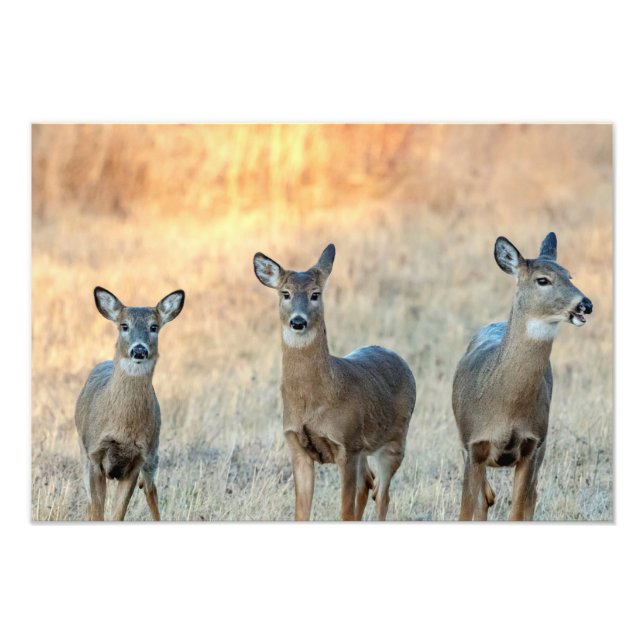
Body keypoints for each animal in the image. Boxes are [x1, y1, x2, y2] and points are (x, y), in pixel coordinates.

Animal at [75, 286, 185, 521]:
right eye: (124, 326)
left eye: (154, 327)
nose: (139, 350)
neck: (122, 428)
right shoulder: (94, 454)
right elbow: (97, 511)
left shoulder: (137, 460)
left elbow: (118, 513)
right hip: (82, 450)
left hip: (153, 452)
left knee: (151, 490)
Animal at [253, 243, 416, 521]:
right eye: (285, 293)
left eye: (315, 294)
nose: (298, 321)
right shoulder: (297, 447)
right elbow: (301, 513)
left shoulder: (346, 446)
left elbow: (345, 511)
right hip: (366, 450)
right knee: (368, 484)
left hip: (395, 440)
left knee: (382, 495)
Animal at [452, 232, 593, 521]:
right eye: (543, 280)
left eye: (570, 275)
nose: (586, 304)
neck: (506, 408)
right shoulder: (473, 445)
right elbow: (466, 511)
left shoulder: (532, 445)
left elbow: (518, 511)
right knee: (484, 499)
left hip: (543, 446)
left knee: (529, 499)